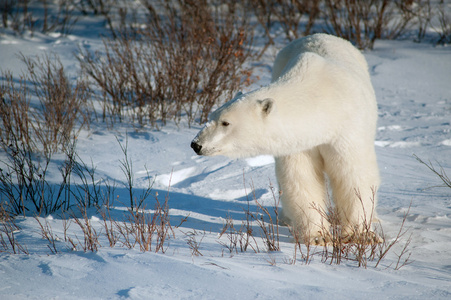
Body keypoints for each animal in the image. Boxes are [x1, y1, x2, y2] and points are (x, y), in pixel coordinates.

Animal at [191, 33, 382, 244]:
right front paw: (318, 237)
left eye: (225, 123)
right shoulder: (297, 142)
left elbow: (353, 175)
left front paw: (361, 235)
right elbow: (301, 179)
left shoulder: (347, 129)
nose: (196, 145)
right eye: (211, 117)